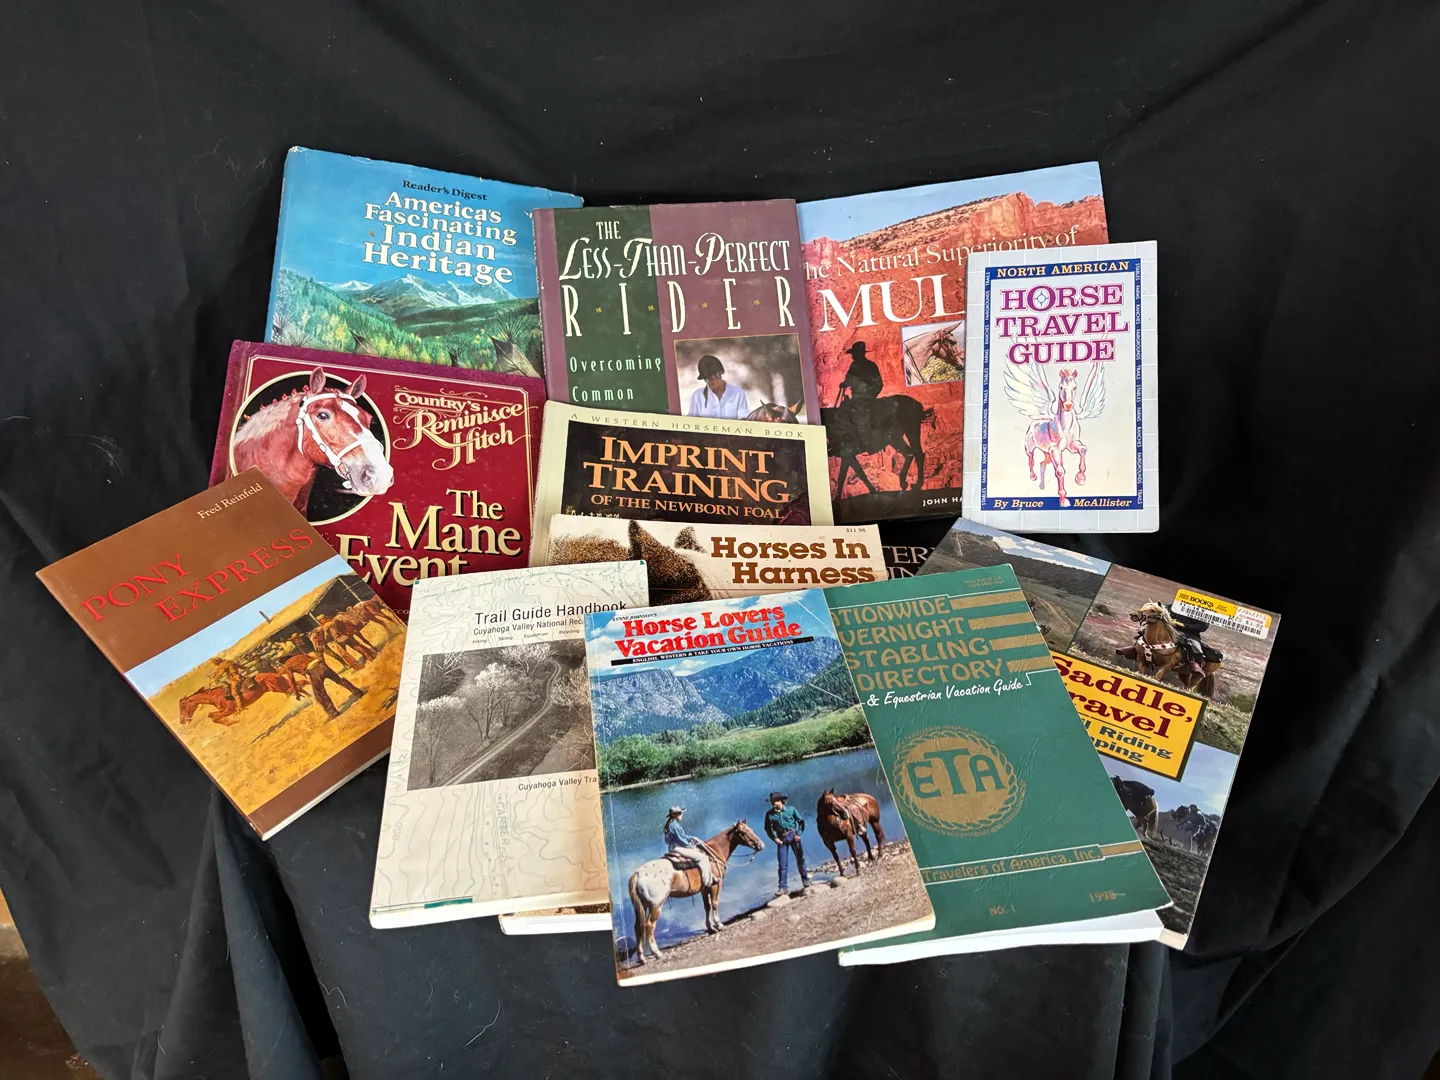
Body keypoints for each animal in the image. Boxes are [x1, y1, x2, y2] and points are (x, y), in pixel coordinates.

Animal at [627, 820, 765, 964]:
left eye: (751, 829)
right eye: (743, 832)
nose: (761, 845)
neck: (712, 854)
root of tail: (637, 873)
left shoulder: (705, 888)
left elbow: (707, 907)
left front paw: (711, 928)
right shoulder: (715, 885)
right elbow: (714, 904)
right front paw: (720, 925)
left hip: (643, 906)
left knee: (638, 927)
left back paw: (642, 957)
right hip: (656, 906)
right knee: (649, 926)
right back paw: (657, 953)